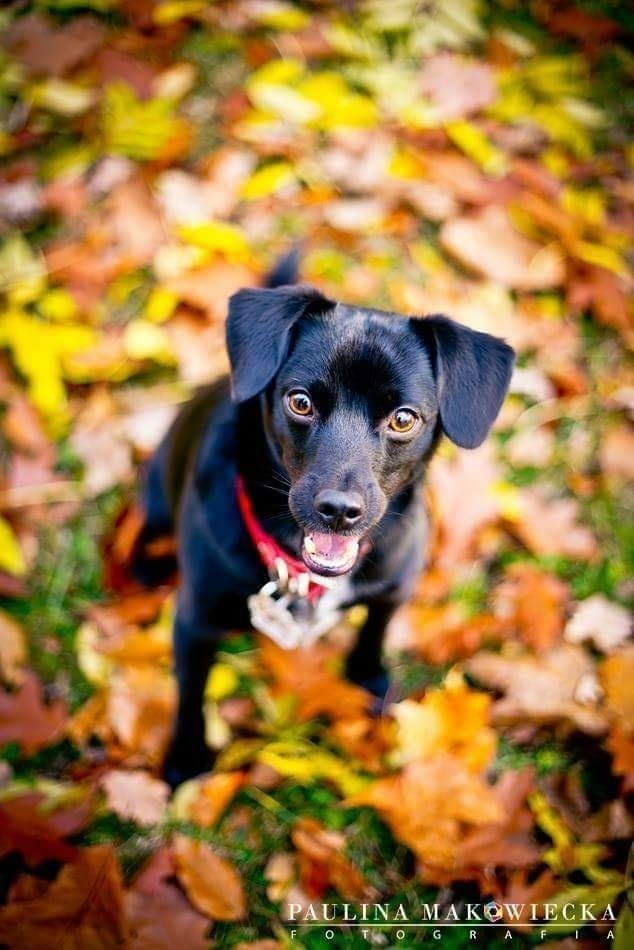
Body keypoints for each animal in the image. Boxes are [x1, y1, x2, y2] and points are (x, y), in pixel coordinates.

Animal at [135, 255, 512, 788]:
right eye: (300, 402)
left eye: (403, 419)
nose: (338, 509)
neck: (300, 572)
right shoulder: (195, 623)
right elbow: (190, 696)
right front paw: (186, 757)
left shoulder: (395, 585)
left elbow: (376, 627)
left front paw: (368, 675)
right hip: (156, 492)